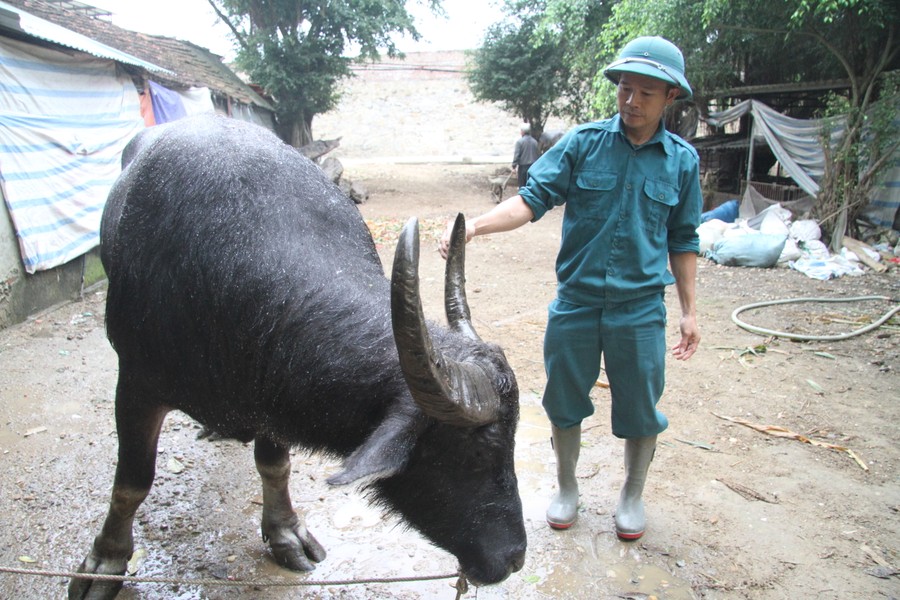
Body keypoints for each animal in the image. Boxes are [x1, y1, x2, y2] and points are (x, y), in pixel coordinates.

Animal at [72, 115, 528, 596]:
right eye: (477, 453)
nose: (515, 556)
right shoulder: (135, 385)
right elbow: (132, 482)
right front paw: (105, 562)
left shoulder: (272, 390)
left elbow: (275, 465)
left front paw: (285, 532)